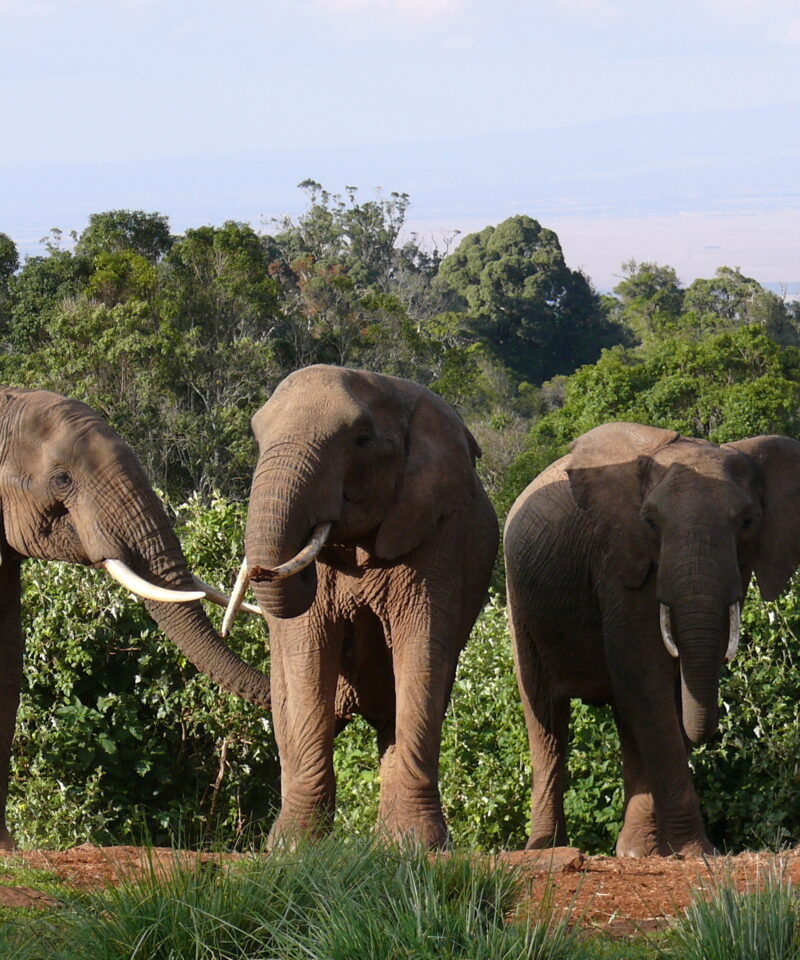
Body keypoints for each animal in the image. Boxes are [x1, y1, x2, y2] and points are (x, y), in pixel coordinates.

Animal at [227, 366, 500, 848]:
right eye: (257, 438)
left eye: (361, 440)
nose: (260, 570)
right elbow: (307, 651)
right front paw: (293, 847)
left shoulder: (439, 537)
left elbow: (421, 647)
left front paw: (419, 846)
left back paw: (391, 840)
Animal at [506, 424, 800, 860]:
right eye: (649, 521)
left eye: (748, 522)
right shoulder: (618, 560)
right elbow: (646, 677)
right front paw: (696, 851)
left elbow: (664, 691)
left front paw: (666, 851)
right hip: (520, 601)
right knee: (546, 716)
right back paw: (546, 848)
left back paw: (636, 852)